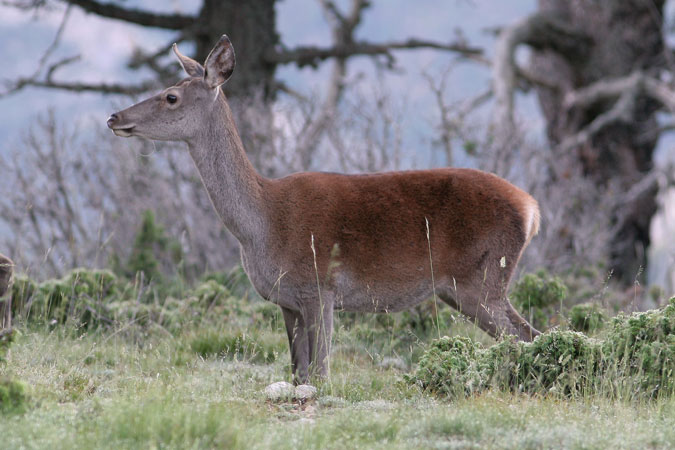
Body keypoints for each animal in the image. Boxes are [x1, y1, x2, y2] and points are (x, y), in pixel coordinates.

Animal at [109, 35, 544, 384]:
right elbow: (298, 370)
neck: (261, 225)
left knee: (526, 336)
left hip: (482, 277)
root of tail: (532, 208)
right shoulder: (286, 300)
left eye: (171, 96)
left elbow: (320, 372)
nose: (114, 117)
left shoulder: (320, 287)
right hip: (465, 287)